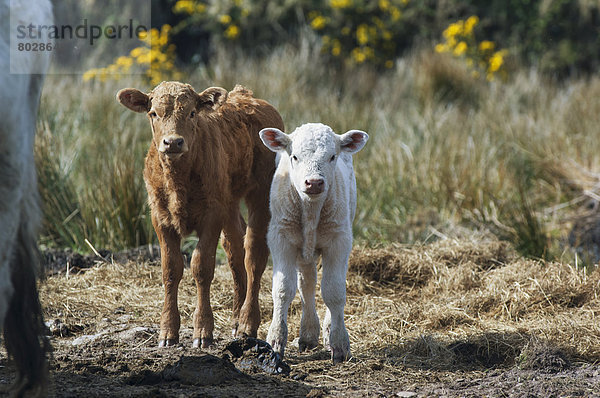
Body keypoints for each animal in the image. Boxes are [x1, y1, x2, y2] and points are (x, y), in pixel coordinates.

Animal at [118, 82, 284, 346]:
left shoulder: (211, 215)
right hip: (230, 203)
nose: (173, 142)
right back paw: (236, 320)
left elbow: (201, 266)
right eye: (153, 113)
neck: (178, 179)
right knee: (235, 249)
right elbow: (171, 269)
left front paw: (203, 331)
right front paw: (168, 331)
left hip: (260, 196)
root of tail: (248, 97)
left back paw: (247, 324)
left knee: (254, 255)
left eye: (192, 113)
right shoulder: (160, 217)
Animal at [260, 123, 368, 362]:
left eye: (332, 156)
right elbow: (283, 289)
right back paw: (308, 334)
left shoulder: (339, 241)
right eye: (294, 156)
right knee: (307, 283)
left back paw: (325, 331)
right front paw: (275, 340)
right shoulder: (280, 238)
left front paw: (339, 343)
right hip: (303, 250)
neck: (310, 210)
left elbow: (334, 291)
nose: (315, 182)